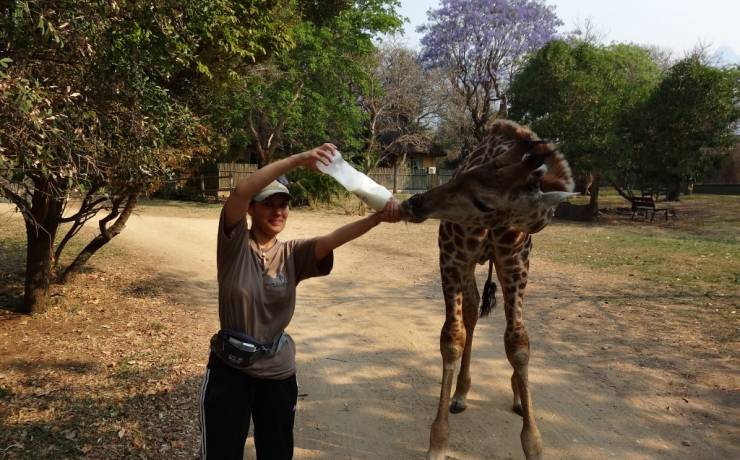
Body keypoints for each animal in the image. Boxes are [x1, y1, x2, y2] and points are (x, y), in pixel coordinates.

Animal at [402, 119, 576, 460]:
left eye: (483, 200)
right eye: (466, 174)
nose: (416, 203)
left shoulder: (515, 264)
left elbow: (518, 342)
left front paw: (533, 443)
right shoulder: (453, 258)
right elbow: (452, 338)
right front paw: (438, 442)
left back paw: (518, 398)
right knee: (470, 314)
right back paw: (460, 395)